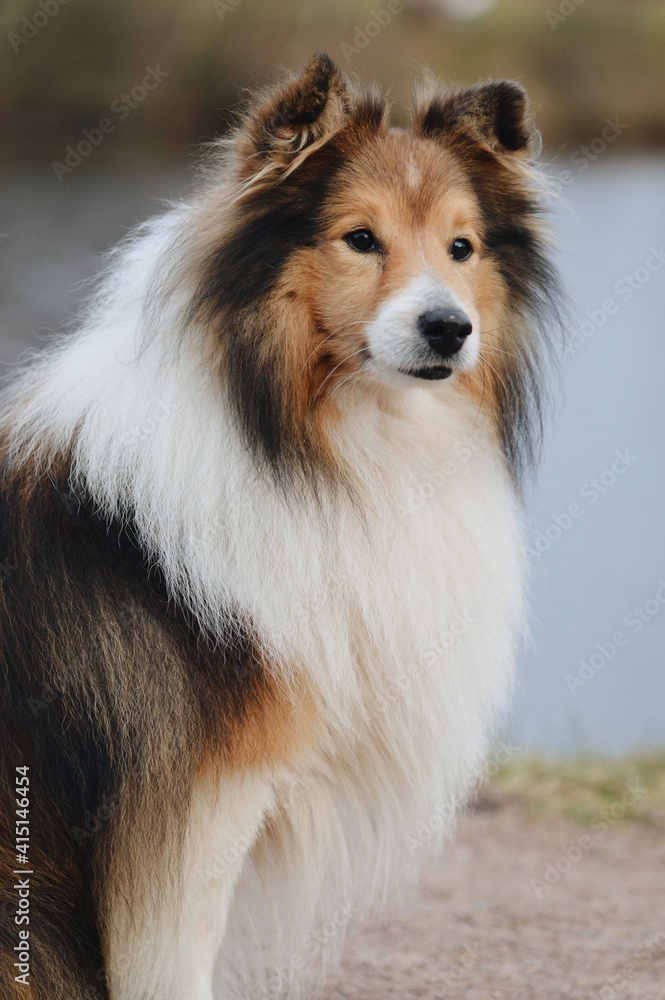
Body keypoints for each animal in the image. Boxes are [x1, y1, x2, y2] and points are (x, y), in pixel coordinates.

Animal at [0, 52, 560, 1000]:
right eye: (359, 239)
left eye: (462, 247)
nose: (449, 328)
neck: (306, 436)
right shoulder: (197, 804)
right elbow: (174, 965)